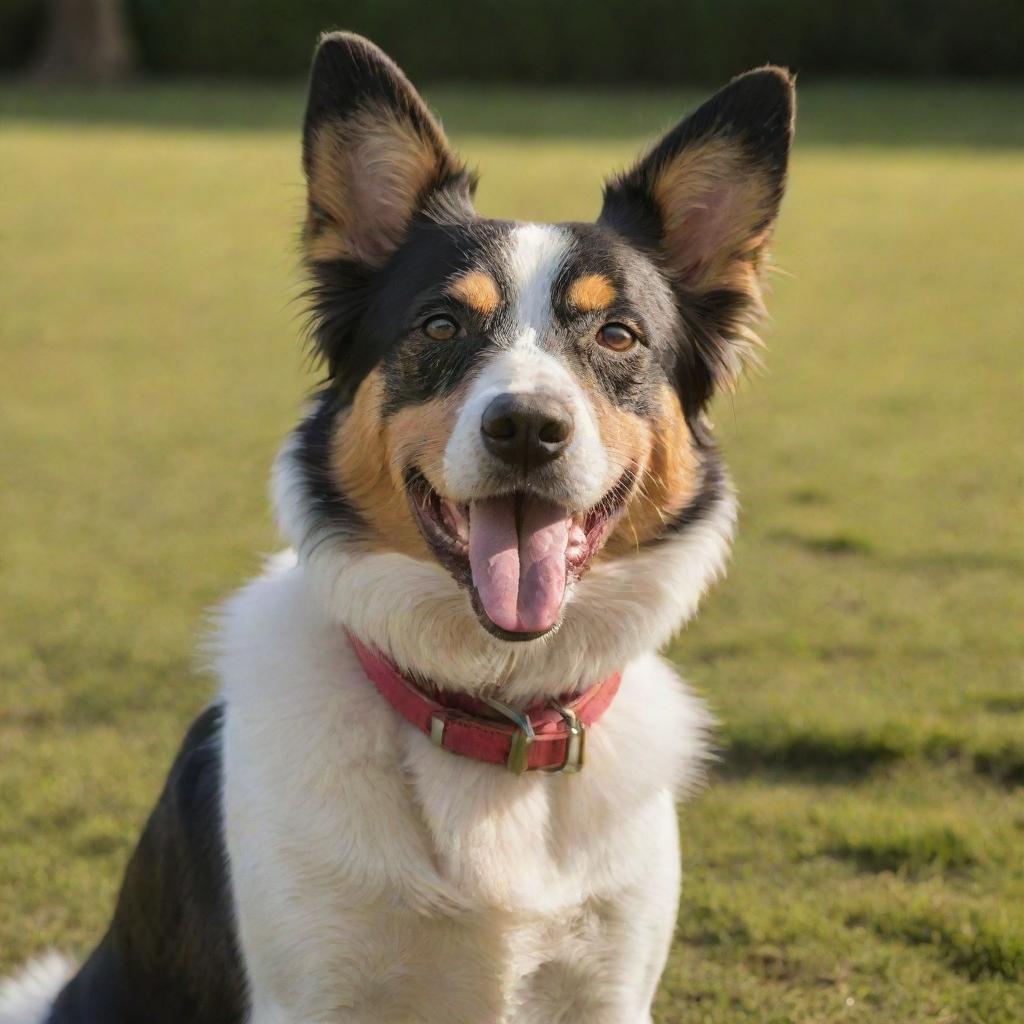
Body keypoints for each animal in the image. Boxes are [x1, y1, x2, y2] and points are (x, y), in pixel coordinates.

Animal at [0, 32, 794, 1024]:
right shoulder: (309, 994)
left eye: (617, 336)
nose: (527, 428)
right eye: (442, 323)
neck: (491, 711)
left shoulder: (609, 992)